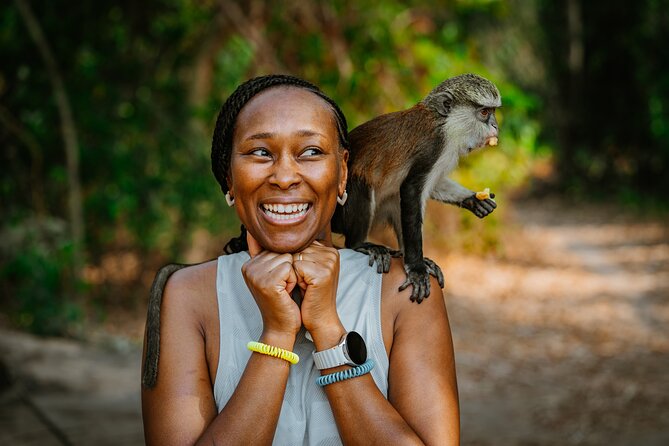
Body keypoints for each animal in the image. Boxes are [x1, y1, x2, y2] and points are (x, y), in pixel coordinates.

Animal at [332, 73, 501, 304]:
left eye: (493, 112)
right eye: (484, 112)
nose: (496, 126)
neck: (443, 123)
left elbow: (432, 184)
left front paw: (473, 199)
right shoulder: (434, 147)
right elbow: (411, 188)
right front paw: (416, 268)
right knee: (364, 190)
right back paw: (360, 244)